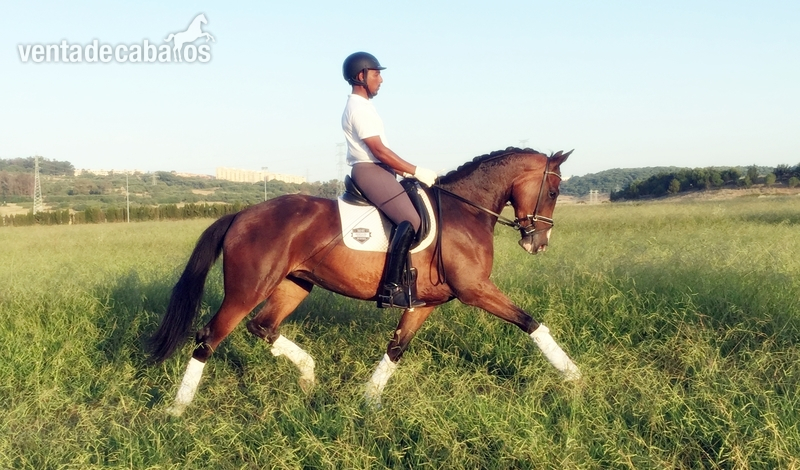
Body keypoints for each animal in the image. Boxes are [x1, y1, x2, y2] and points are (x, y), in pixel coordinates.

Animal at [150, 147, 580, 415]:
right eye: (554, 189)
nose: (538, 243)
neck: (463, 211)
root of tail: (241, 215)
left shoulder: (425, 303)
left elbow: (396, 348)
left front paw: (368, 400)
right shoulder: (474, 290)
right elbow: (530, 322)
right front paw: (573, 375)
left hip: (293, 284)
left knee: (264, 326)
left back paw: (309, 377)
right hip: (247, 289)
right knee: (209, 337)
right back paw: (177, 409)